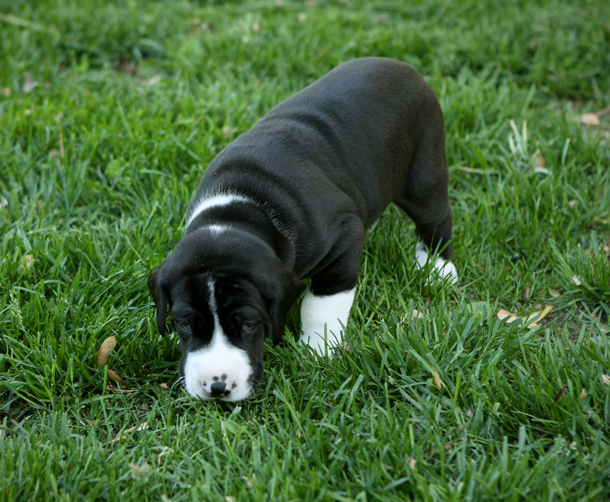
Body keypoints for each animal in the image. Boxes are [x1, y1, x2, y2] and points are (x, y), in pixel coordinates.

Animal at [147, 58, 454, 402]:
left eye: (249, 325)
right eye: (184, 324)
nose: (217, 387)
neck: (240, 213)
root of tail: (402, 66)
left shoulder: (343, 237)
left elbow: (321, 303)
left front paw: (317, 349)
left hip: (423, 174)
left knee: (436, 219)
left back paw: (438, 267)